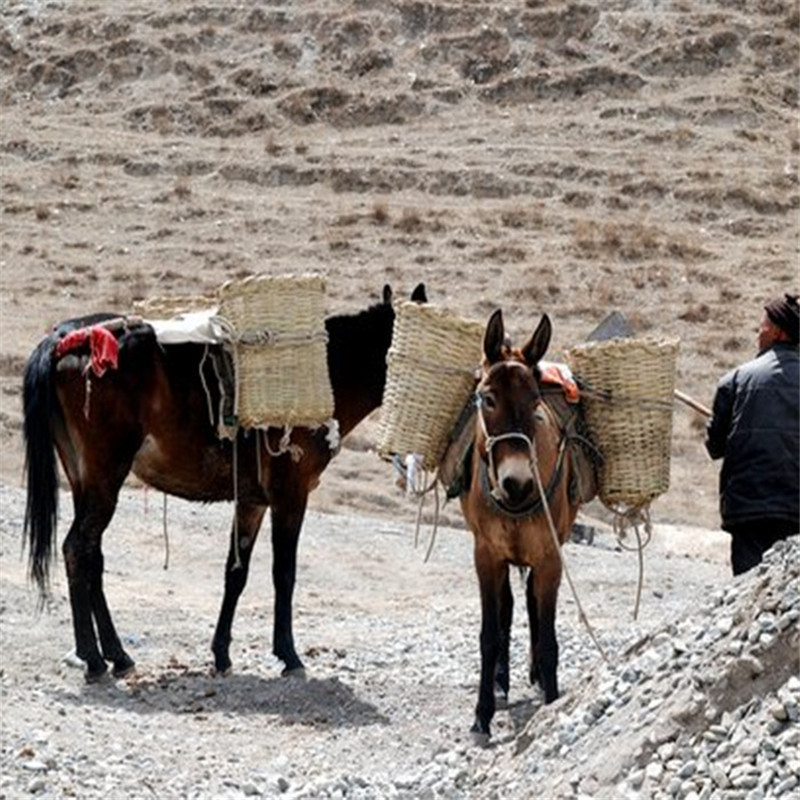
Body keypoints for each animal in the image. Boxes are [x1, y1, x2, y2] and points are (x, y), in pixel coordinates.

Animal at [21, 282, 428, 680]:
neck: (324, 377)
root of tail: (62, 339)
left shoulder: (252, 501)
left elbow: (236, 572)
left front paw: (221, 654)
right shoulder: (290, 496)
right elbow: (284, 573)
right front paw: (289, 655)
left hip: (83, 479)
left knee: (92, 555)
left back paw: (117, 655)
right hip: (105, 476)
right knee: (77, 549)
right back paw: (92, 659)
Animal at [460, 308, 580, 744]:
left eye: (534, 402)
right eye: (488, 398)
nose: (518, 484)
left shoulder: (551, 557)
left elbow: (547, 635)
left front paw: (551, 699)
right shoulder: (485, 555)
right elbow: (489, 634)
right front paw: (482, 714)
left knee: (528, 602)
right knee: (508, 607)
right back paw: (501, 679)